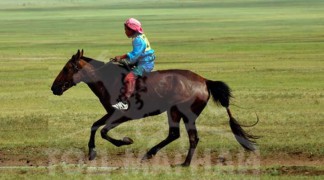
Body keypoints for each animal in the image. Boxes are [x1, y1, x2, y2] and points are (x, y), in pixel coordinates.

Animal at [51, 49, 258, 167]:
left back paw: (176, 161)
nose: (54, 88)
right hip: (178, 113)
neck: (109, 80)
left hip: (181, 113)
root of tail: (205, 81)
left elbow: (103, 131)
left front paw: (126, 141)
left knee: (185, 136)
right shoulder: (111, 112)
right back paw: (164, 157)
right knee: (180, 136)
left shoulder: (124, 115)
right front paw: (92, 152)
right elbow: (95, 126)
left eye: (67, 68)